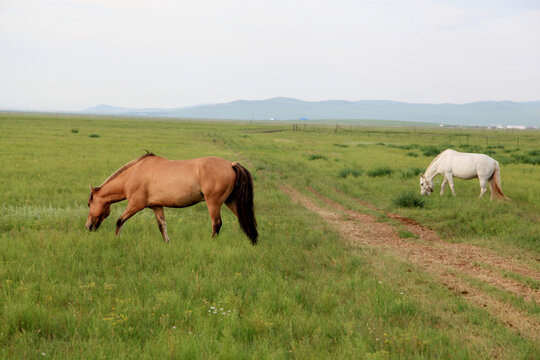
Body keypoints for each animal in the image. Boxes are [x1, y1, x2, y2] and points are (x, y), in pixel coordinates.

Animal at [85, 152, 258, 245]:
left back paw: (212, 243)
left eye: (88, 204)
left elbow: (119, 221)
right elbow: (162, 226)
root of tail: (231, 164)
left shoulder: (135, 205)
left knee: (216, 224)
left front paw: (116, 239)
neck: (133, 175)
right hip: (231, 201)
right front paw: (167, 243)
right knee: (244, 219)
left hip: (214, 203)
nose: (88, 227)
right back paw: (253, 242)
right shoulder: (156, 206)